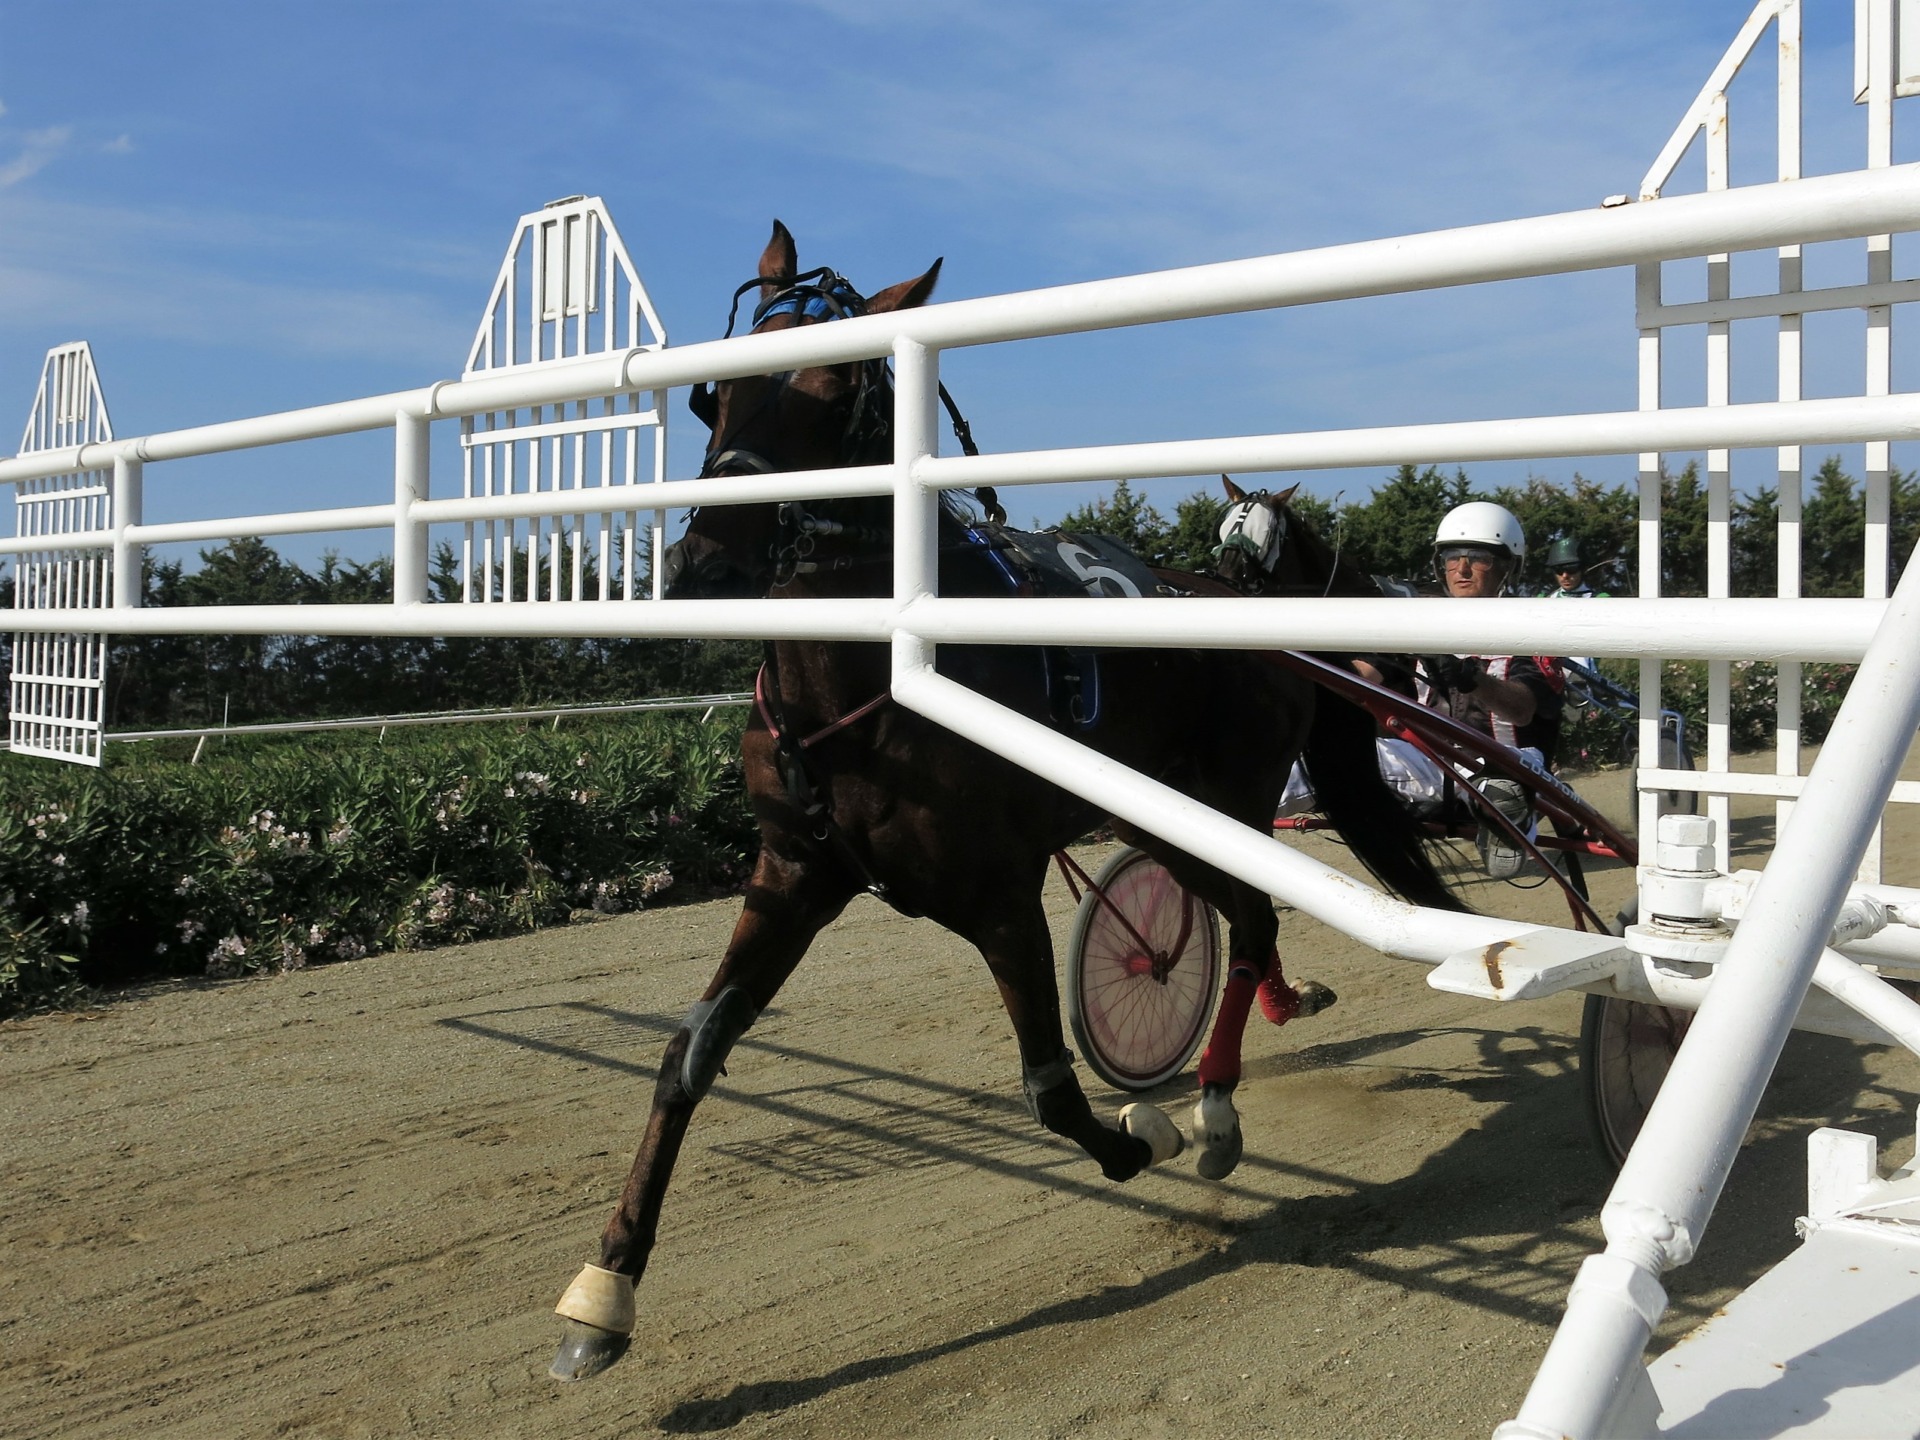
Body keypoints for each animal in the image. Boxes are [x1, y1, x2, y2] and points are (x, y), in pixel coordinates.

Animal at [549, 219, 1459, 1382]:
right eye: (713, 396)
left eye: (832, 386)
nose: (703, 564)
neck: (873, 678)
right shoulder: (794, 873)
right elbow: (689, 1051)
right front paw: (604, 1288)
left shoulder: (995, 891)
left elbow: (1051, 1087)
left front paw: (1148, 1131)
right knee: (1239, 926)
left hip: (1222, 806)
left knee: (1251, 922)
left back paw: (1212, 1111)